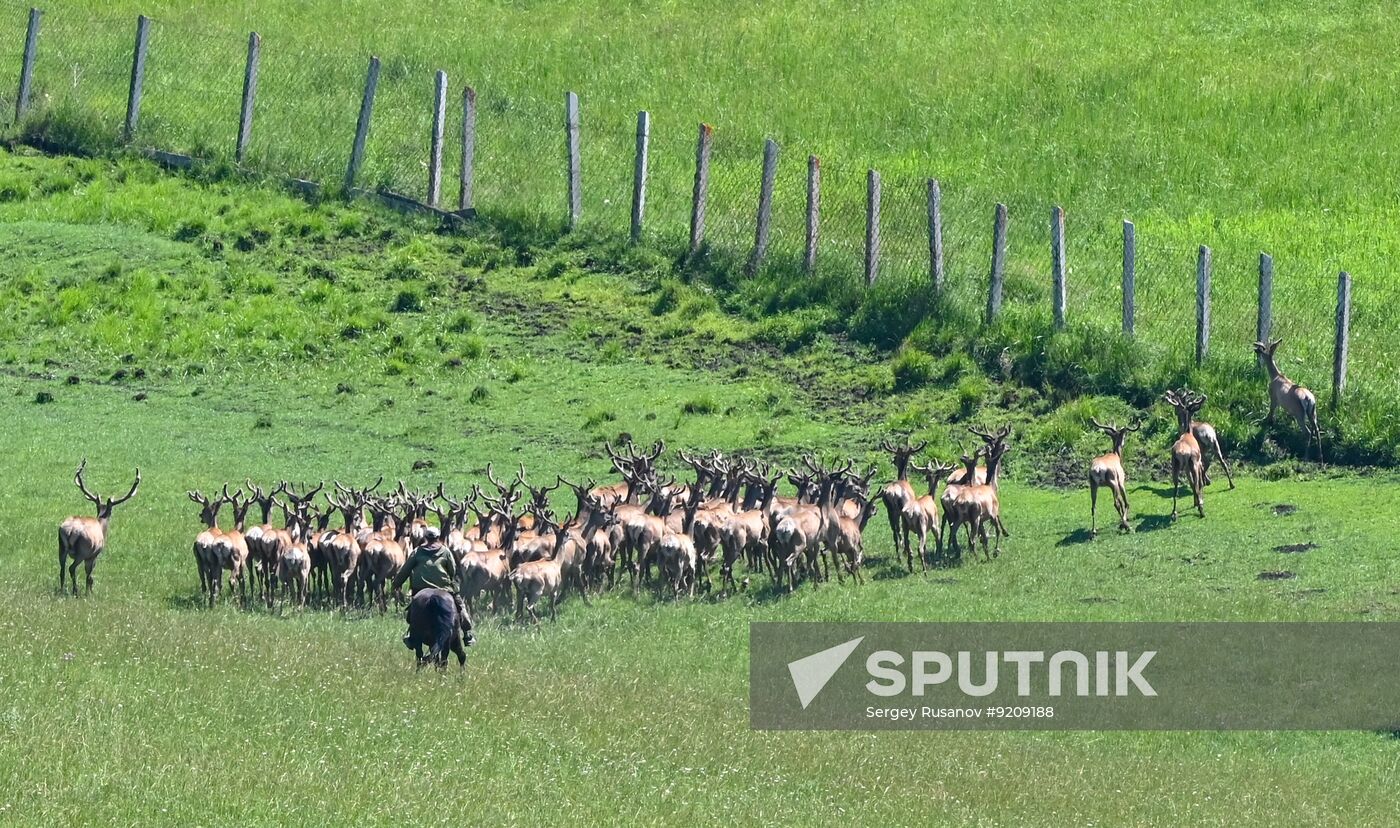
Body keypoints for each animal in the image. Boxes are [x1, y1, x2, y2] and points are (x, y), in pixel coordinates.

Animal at [58, 459, 140, 596]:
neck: (101, 526)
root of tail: (70, 531)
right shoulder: (94, 554)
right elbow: (90, 575)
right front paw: (89, 592)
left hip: (61, 548)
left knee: (62, 569)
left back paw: (63, 590)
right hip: (83, 551)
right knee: (72, 568)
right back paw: (75, 591)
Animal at [1164, 389, 1206, 520]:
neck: (1188, 432)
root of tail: (1181, 452)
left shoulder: (1187, 468)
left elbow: (1192, 484)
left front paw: (1196, 502)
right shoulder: (1198, 462)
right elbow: (1198, 484)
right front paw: (1199, 502)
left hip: (1175, 465)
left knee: (1175, 489)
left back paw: (1174, 513)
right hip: (1193, 463)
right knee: (1197, 485)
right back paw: (1202, 511)